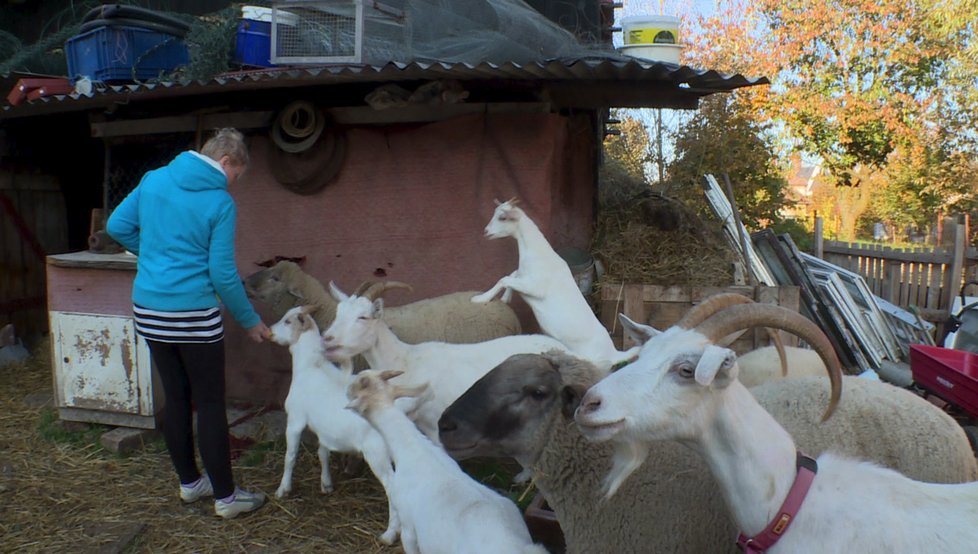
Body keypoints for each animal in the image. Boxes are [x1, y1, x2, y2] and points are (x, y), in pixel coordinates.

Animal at [266, 304, 396, 540]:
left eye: (288, 321)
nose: (269, 332)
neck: (309, 367)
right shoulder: (323, 429)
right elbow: (322, 453)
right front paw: (326, 484)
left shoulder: (295, 420)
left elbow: (290, 457)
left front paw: (283, 489)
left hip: (378, 454)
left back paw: (390, 534)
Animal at [470, 196, 636, 368]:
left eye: (502, 218)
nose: (486, 231)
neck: (539, 254)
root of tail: (615, 353)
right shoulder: (524, 276)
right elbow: (512, 274)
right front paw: (505, 298)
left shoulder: (535, 288)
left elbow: (505, 279)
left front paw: (480, 298)